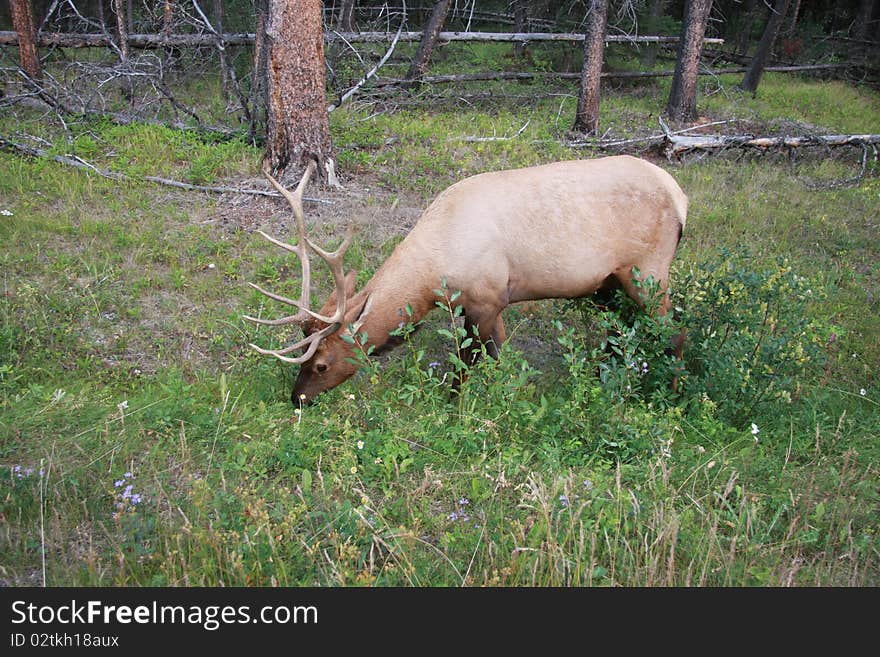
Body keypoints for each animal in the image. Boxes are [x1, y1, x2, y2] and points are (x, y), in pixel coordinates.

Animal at [246, 158, 688, 404]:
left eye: (321, 364)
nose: (297, 399)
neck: (434, 278)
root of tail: (681, 197)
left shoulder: (486, 299)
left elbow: (467, 362)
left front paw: (454, 407)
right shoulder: (487, 302)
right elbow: (500, 355)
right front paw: (512, 394)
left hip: (648, 271)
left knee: (675, 332)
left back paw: (673, 396)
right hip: (611, 283)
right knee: (626, 332)